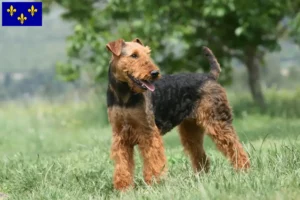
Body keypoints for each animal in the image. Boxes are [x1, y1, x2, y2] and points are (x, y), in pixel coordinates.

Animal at [106, 38, 251, 191]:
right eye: (134, 55)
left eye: (147, 53)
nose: (155, 73)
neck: (124, 97)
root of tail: (209, 76)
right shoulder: (121, 137)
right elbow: (122, 165)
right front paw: (123, 188)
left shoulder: (149, 133)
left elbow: (153, 160)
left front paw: (155, 183)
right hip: (191, 130)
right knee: (200, 156)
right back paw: (201, 177)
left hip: (218, 122)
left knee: (235, 147)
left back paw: (244, 170)